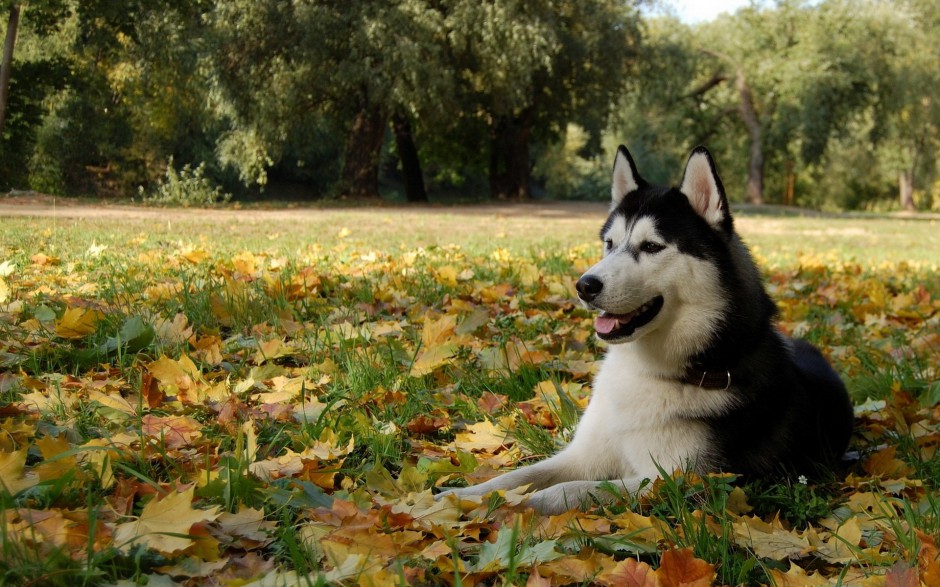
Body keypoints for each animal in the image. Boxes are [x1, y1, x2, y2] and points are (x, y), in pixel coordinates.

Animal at [436, 146, 856, 516]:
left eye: (652, 246)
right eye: (609, 244)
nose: (584, 285)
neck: (650, 371)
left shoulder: (682, 479)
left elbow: (578, 489)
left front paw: (526, 504)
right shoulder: (585, 455)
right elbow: (516, 476)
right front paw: (460, 497)